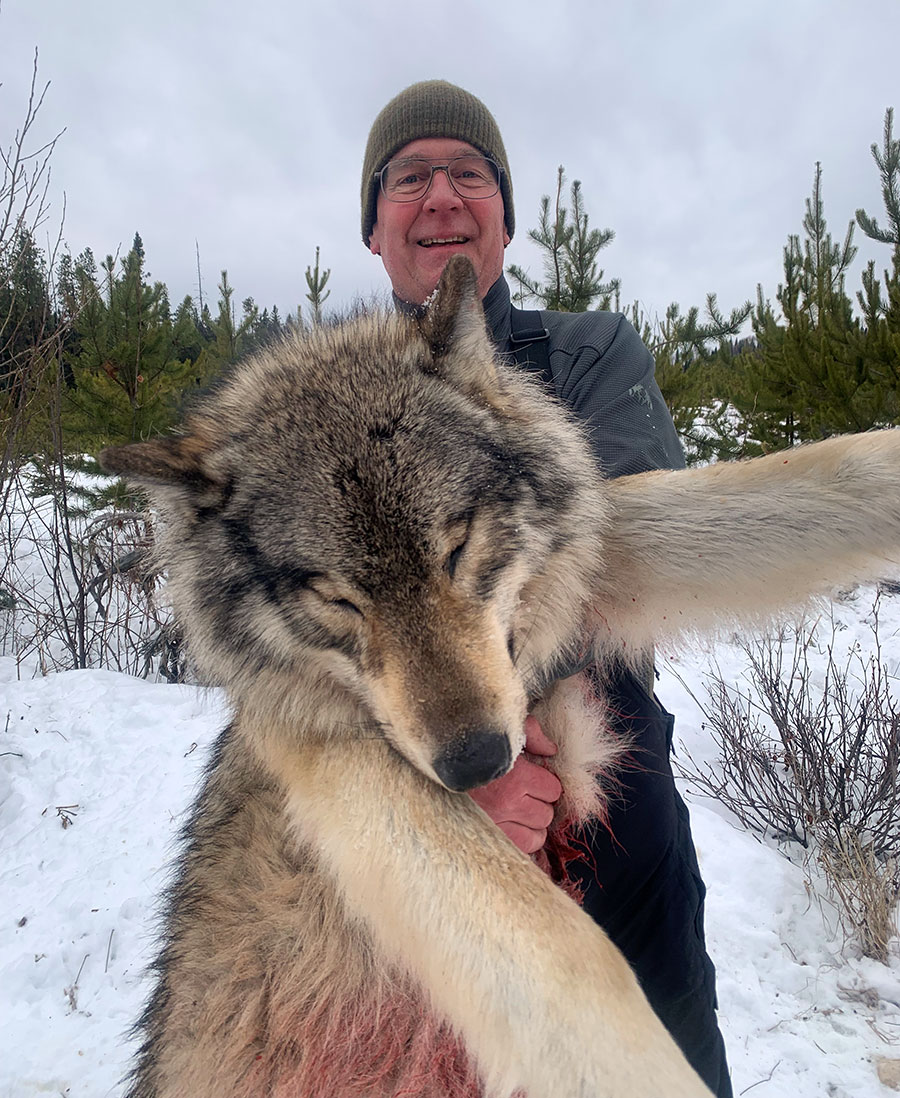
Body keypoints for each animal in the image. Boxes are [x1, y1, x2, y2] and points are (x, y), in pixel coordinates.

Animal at [102, 254, 900, 1098]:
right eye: (339, 599)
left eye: (455, 549)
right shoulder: (345, 764)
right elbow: (574, 960)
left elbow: (825, 474)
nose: (477, 763)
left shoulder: (597, 553)